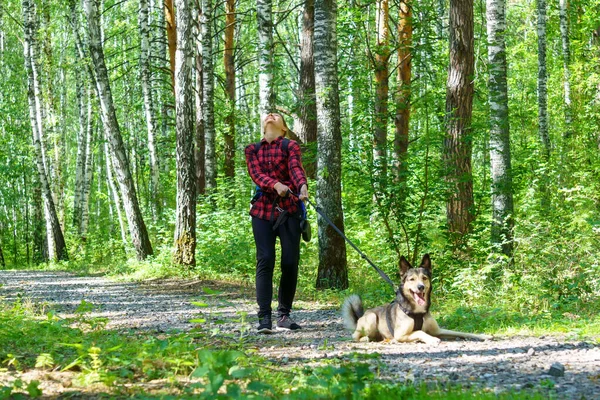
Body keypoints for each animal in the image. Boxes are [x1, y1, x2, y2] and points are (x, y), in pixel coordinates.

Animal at [342, 255, 492, 346]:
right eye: (411, 279)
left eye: (424, 278)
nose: (420, 287)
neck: (417, 312)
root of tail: (360, 317)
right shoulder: (401, 334)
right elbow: (420, 332)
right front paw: (431, 339)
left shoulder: (438, 330)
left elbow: (460, 332)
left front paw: (483, 335)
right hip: (372, 318)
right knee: (356, 336)